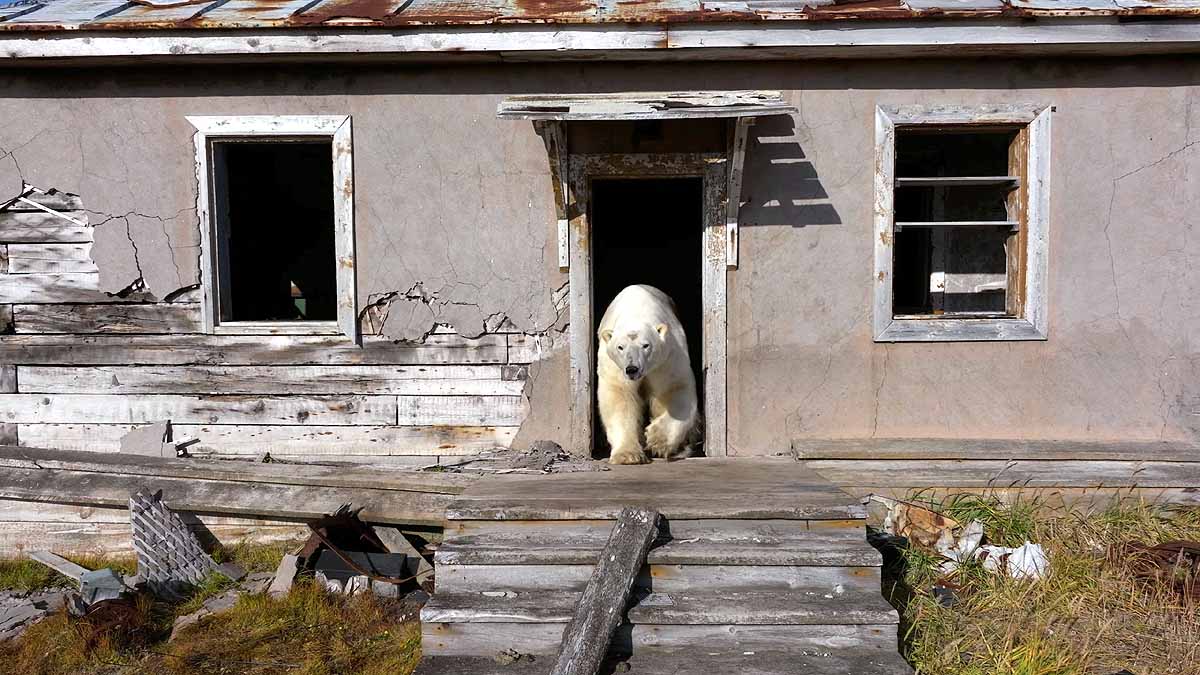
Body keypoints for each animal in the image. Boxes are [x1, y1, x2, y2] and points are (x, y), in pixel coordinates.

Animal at [596, 284, 699, 465]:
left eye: (646, 345)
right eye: (620, 347)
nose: (632, 369)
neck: (637, 311)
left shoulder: (667, 357)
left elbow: (675, 389)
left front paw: (657, 439)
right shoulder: (614, 366)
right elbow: (620, 396)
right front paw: (628, 455)